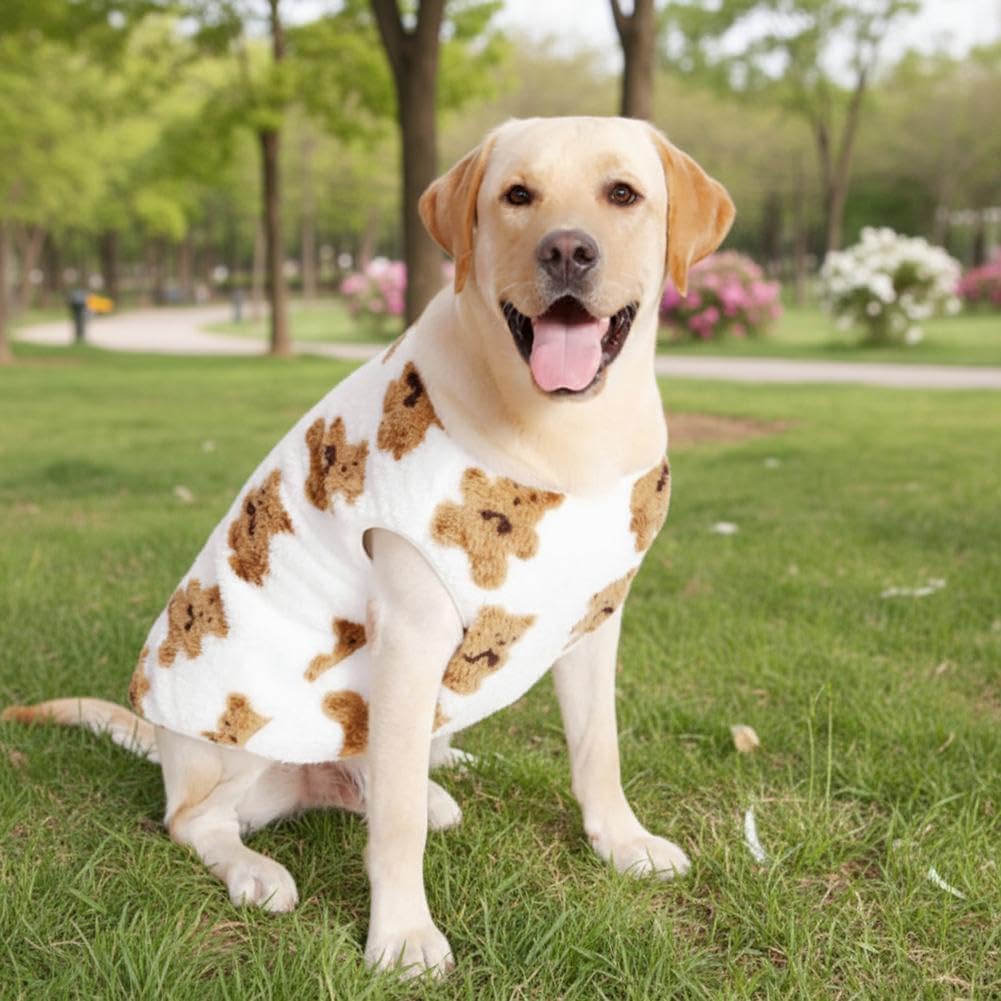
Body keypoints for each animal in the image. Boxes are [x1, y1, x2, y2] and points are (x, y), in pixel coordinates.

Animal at [431, 468, 564, 589]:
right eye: (515, 484)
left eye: (534, 498)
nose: (517, 499)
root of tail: (467, 544)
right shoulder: (483, 495)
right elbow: (477, 484)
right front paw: (473, 473)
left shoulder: (520, 531)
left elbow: (526, 540)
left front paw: (528, 551)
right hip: (464, 519)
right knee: (455, 519)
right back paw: (443, 524)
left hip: (491, 556)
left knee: (489, 565)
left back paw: (488, 575)